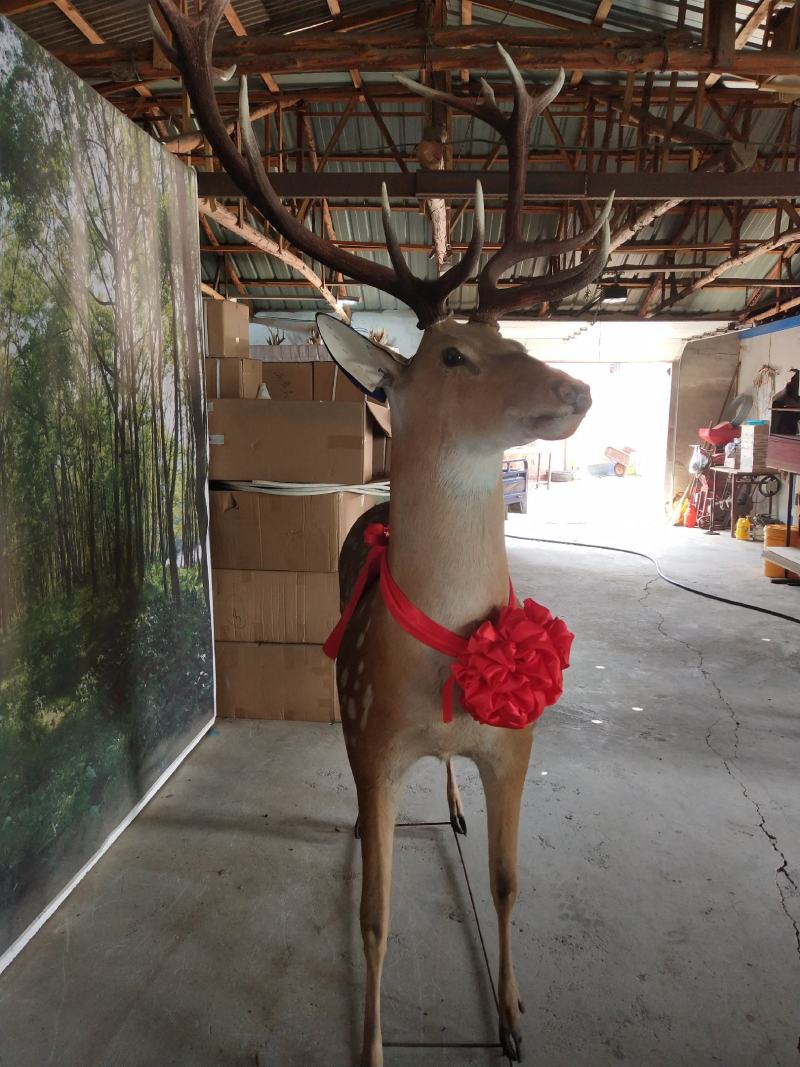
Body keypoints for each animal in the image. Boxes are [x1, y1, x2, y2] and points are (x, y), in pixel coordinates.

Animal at [153, 3, 611, 1063]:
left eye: (513, 336)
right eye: (451, 354)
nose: (577, 388)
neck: (452, 658)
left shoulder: (518, 745)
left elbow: (510, 884)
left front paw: (514, 1018)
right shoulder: (373, 731)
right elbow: (375, 917)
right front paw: (369, 1043)